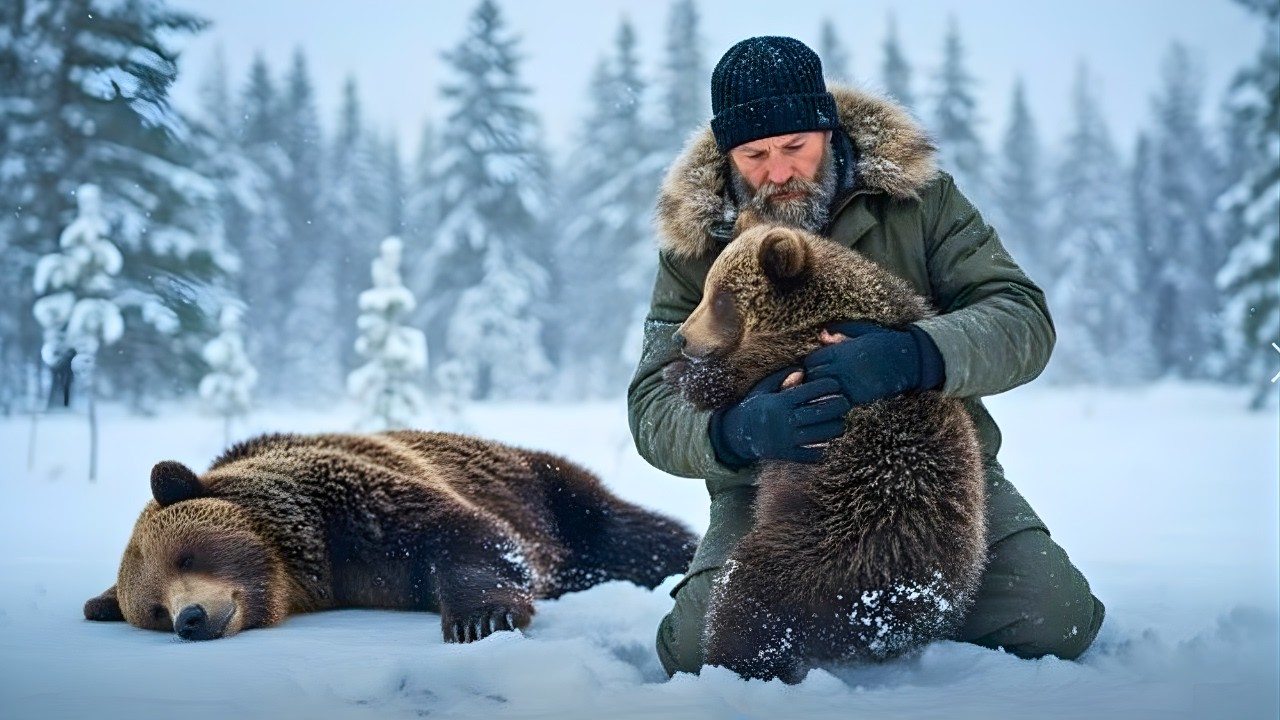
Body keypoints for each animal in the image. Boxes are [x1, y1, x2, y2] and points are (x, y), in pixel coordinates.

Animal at [83, 430, 699, 642]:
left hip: (550, 489)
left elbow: (465, 536)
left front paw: (480, 618)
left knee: (629, 535)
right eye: (153, 608)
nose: (189, 619)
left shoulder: (358, 505)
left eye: (188, 555)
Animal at [663, 217, 987, 683]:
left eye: (721, 299)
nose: (680, 338)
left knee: (745, 602)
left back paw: (732, 663)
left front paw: (683, 376)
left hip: (827, 540)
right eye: (706, 288)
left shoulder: (799, 355)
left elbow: (734, 377)